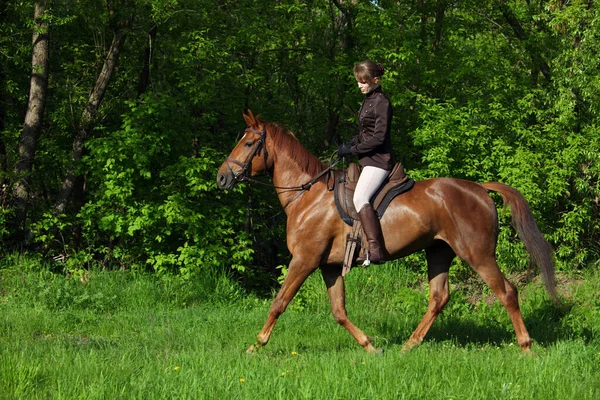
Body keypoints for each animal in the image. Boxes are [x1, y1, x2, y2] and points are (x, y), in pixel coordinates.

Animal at [216, 109, 556, 354]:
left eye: (249, 143)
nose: (222, 178)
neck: (308, 195)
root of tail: (480, 189)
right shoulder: (328, 266)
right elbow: (339, 311)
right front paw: (370, 346)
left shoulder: (304, 260)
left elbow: (279, 302)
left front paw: (255, 346)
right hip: (439, 251)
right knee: (439, 298)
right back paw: (409, 345)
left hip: (478, 254)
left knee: (507, 292)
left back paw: (526, 347)